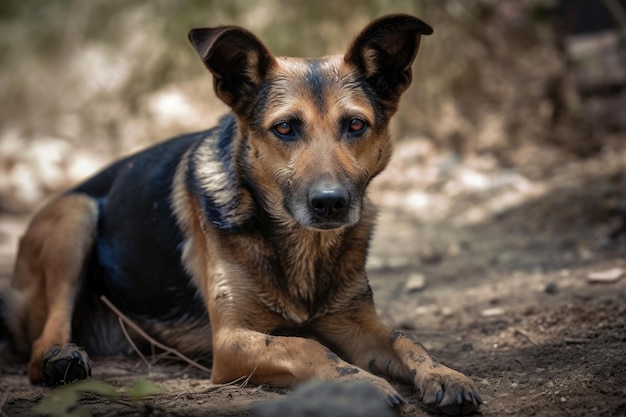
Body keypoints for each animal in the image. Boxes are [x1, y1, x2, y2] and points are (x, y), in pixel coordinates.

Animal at [0, 14, 480, 414]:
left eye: (356, 125)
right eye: (284, 128)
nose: (330, 202)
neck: (301, 248)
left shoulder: (355, 324)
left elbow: (406, 339)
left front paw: (443, 373)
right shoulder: (231, 342)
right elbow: (307, 347)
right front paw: (359, 383)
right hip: (74, 217)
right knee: (43, 342)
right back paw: (62, 358)